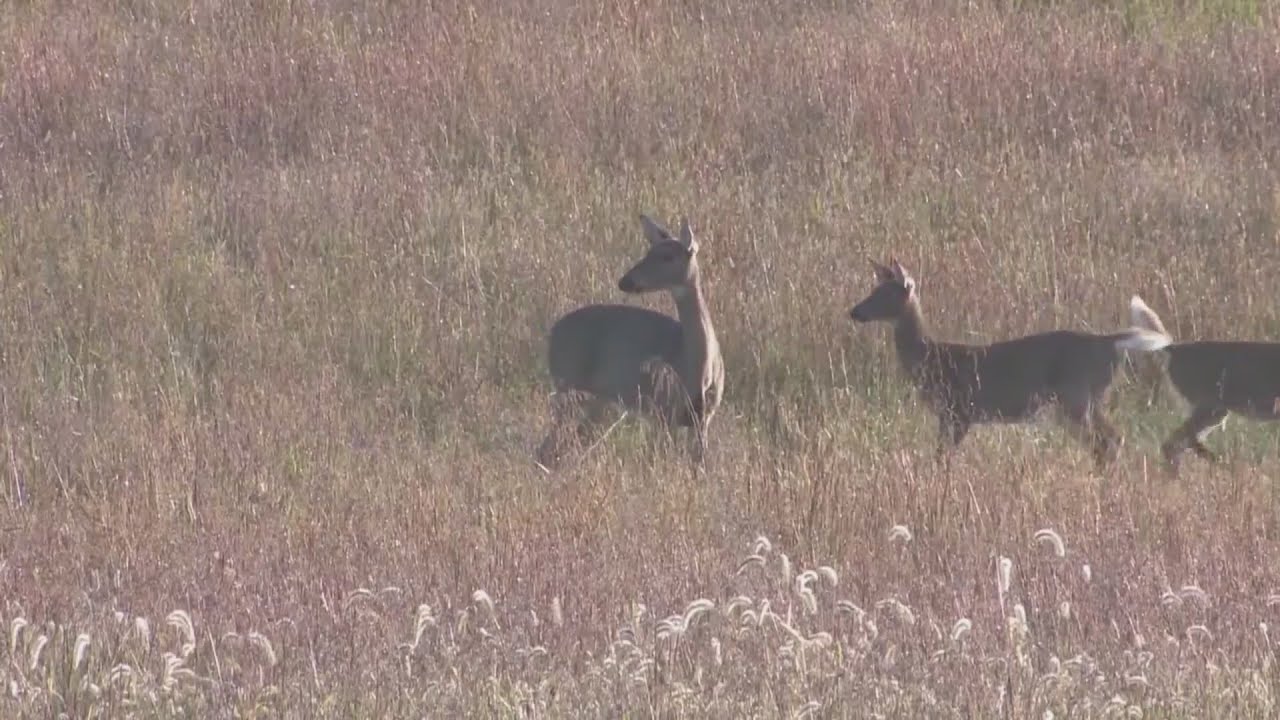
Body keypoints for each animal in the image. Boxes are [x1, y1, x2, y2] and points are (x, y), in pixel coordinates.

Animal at [535, 214, 724, 470]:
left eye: (667, 256)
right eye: (648, 251)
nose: (625, 281)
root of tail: (552, 333)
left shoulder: (704, 417)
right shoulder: (663, 410)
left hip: (596, 401)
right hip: (569, 386)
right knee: (550, 445)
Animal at [848, 258, 1171, 470]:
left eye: (883, 294)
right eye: (872, 290)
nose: (854, 311)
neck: (931, 358)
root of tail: (1110, 342)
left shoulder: (960, 410)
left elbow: (943, 457)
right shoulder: (948, 415)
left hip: (1076, 397)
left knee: (1107, 441)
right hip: (1081, 401)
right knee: (1111, 439)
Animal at [1128, 294, 1280, 473]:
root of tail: (1174, 348)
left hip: (1212, 411)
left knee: (1176, 445)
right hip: (1210, 408)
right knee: (1178, 443)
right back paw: (1220, 463)